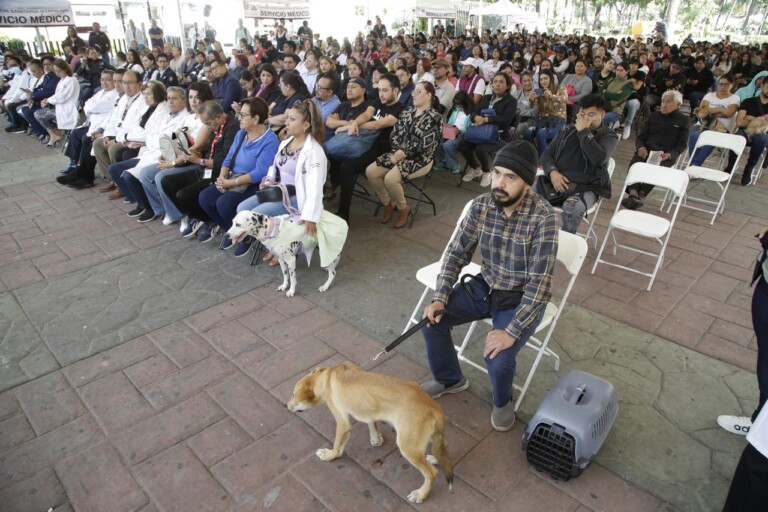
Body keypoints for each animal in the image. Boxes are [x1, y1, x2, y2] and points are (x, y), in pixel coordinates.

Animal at [290, 362, 456, 502]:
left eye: (293, 394)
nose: (287, 405)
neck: (327, 377)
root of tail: (433, 407)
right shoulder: (369, 409)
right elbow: (371, 422)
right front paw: (376, 439)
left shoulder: (342, 423)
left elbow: (337, 446)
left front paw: (329, 455)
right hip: (426, 437)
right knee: (445, 445)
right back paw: (435, 458)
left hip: (407, 446)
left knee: (432, 473)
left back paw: (421, 494)